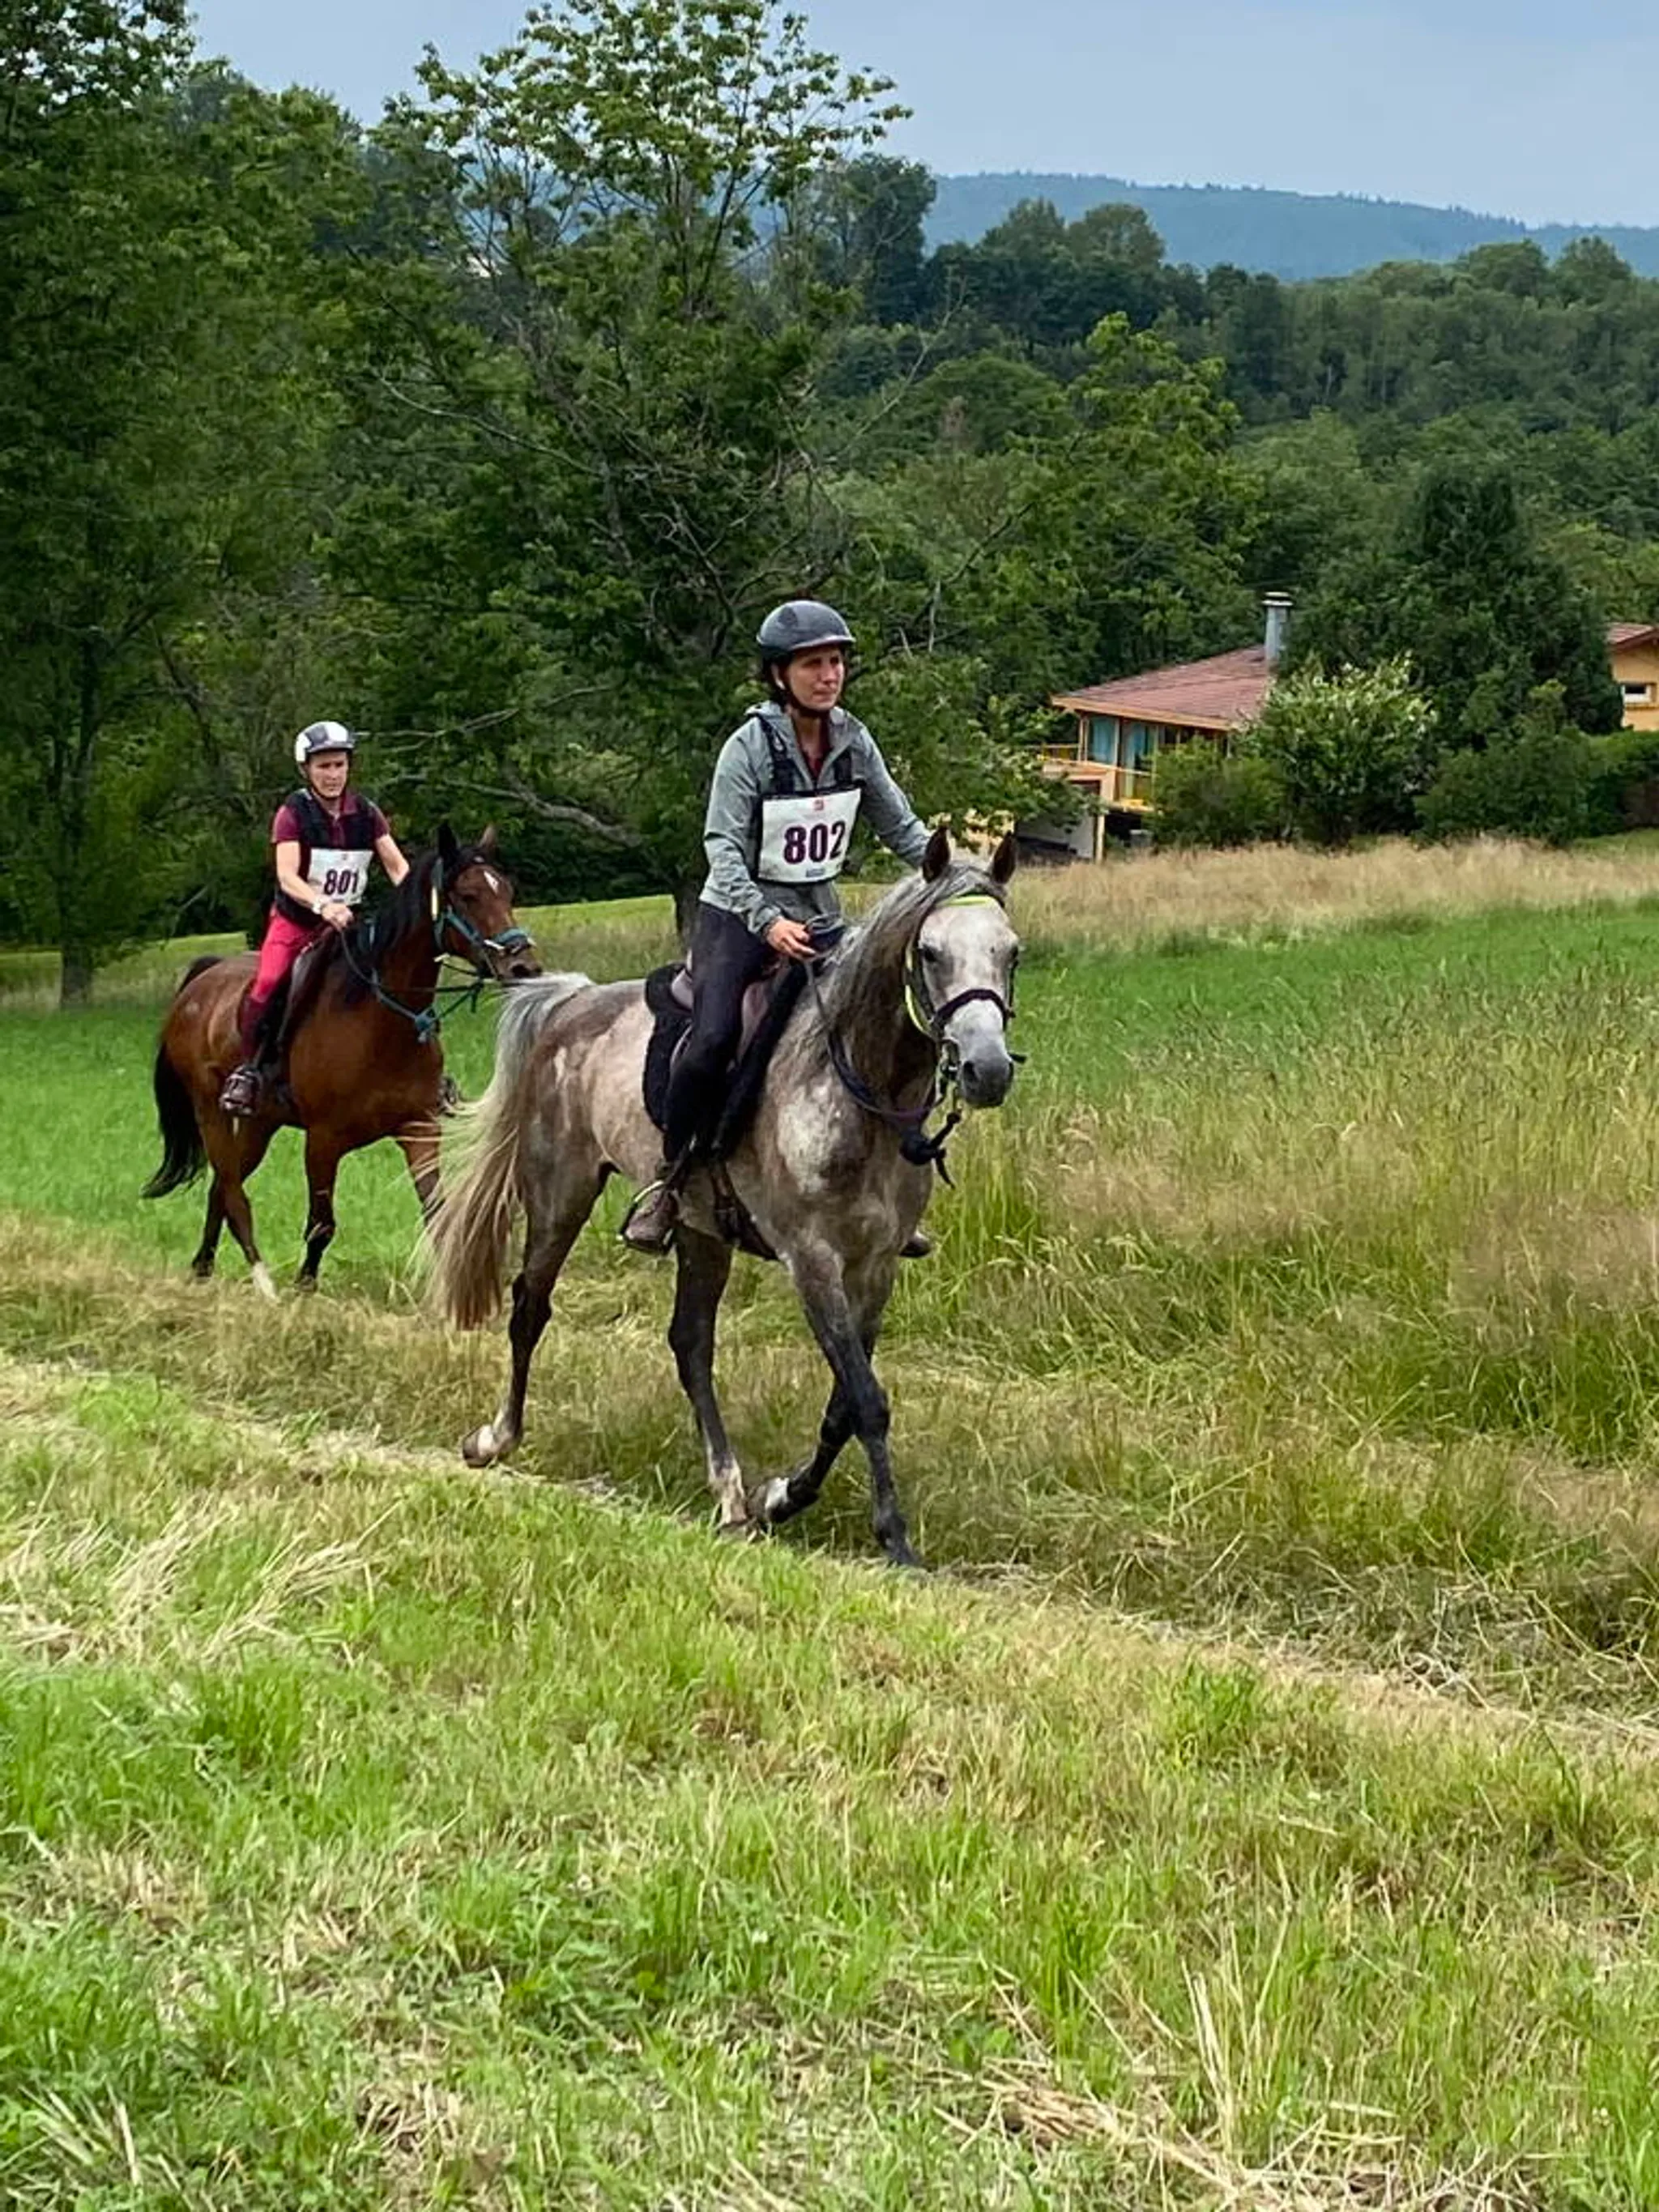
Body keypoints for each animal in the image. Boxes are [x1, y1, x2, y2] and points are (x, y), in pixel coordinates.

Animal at [142, 825, 540, 1298]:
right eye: (468, 895)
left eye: (507, 890)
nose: (524, 967)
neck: (382, 1022)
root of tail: (199, 983)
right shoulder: (323, 1140)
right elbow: (321, 1225)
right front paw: (304, 1288)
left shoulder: (420, 1128)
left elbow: (438, 1213)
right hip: (211, 1111)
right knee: (234, 1194)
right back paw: (264, 1285)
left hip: (261, 1123)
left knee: (221, 1187)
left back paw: (202, 1269)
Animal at [431, 827, 1020, 1566]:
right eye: (931, 953)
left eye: (1011, 951)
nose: (987, 1069)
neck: (856, 1086)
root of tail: (572, 1001)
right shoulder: (812, 1260)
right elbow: (865, 1398)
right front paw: (895, 1538)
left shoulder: (875, 1265)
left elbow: (843, 1403)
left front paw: (781, 1496)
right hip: (559, 1191)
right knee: (530, 1307)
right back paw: (497, 1438)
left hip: (700, 1227)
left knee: (691, 1343)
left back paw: (731, 1492)